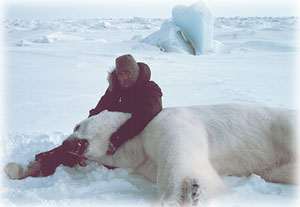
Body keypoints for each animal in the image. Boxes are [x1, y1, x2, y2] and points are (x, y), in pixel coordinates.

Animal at [67, 104, 294, 206]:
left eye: (77, 125)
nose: (68, 143)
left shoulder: (169, 121)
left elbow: (178, 146)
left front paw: (190, 189)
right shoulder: (146, 161)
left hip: (281, 126)